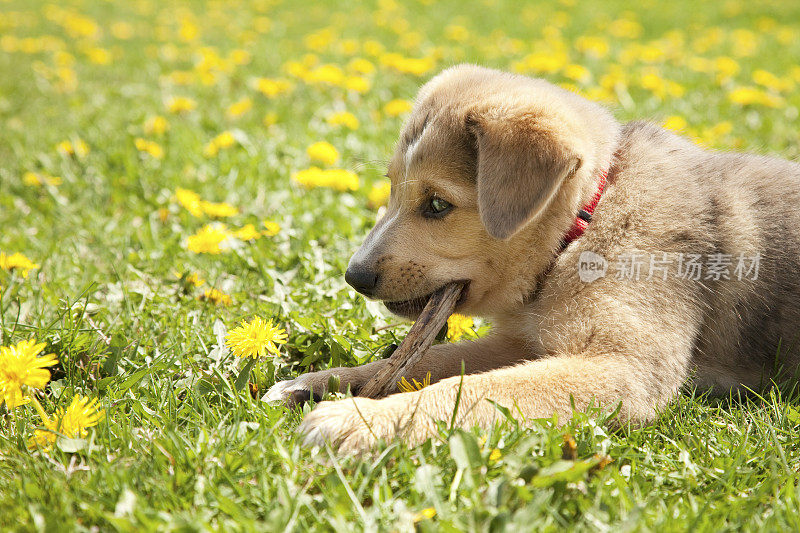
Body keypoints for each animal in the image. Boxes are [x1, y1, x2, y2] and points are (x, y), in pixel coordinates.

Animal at [266, 63, 800, 454]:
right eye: (392, 188)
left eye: (437, 204)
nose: (354, 276)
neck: (585, 223)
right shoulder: (523, 340)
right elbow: (435, 362)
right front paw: (319, 383)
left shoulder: (623, 368)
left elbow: (467, 391)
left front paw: (359, 420)